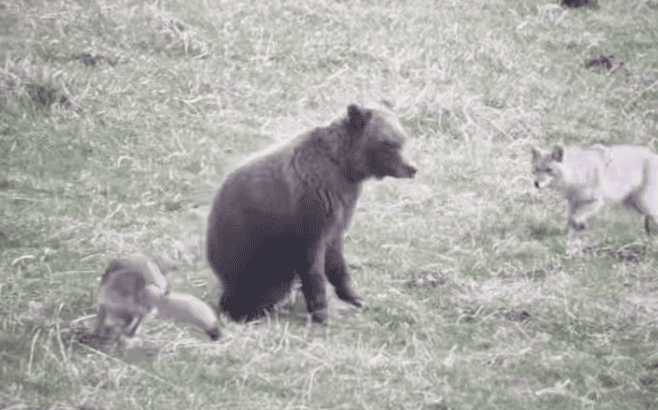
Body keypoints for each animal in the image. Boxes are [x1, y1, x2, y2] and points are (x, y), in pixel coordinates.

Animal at [206, 103, 417, 323]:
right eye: (389, 143)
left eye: (403, 138)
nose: (412, 168)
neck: (345, 169)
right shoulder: (309, 220)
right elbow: (313, 269)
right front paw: (321, 312)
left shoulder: (339, 215)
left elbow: (336, 261)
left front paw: (354, 297)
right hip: (255, 256)